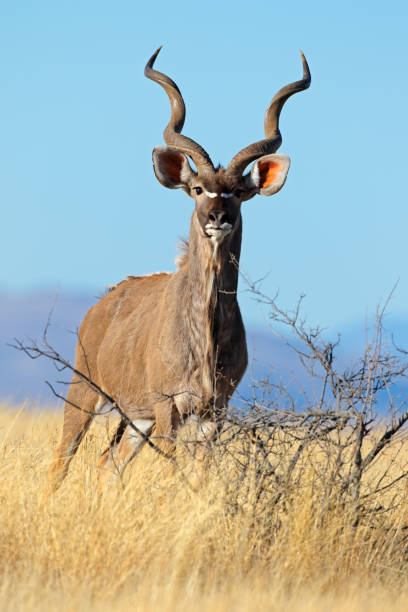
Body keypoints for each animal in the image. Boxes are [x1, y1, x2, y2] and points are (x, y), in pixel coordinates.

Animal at [48, 46, 310, 488]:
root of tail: (99, 307)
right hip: (84, 393)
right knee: (60, 461)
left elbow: (200, 474)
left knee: (107, 463)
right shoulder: (168, 405)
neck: (204, 334)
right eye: (198, 188)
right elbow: (170, 469)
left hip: (135, 420)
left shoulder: (213, 411)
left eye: (238, 192)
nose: (217, 217)